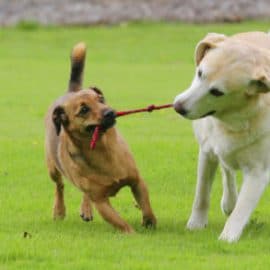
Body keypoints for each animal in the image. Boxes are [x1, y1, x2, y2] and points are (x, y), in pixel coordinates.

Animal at [44, 42, 156, 232]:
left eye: (101, 99)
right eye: (84, 110)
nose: (110, 112)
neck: (102, 150)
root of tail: (71, 91)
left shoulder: (137, 181)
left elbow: (146, 205)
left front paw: (150, 223)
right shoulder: (101, 201)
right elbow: (120, 223)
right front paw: (133, 234)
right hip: (53, 168)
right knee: (59, 186)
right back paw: (59, 210)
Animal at [174, 31, 270, 243]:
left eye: (217, 92)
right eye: (200, 73)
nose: (178, 107)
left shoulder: (258, 171)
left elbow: (242, 209)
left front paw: (227, 238)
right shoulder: (207, 152)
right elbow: (201, 195)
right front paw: (196, 225)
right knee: (227, 170)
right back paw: (229, 201)